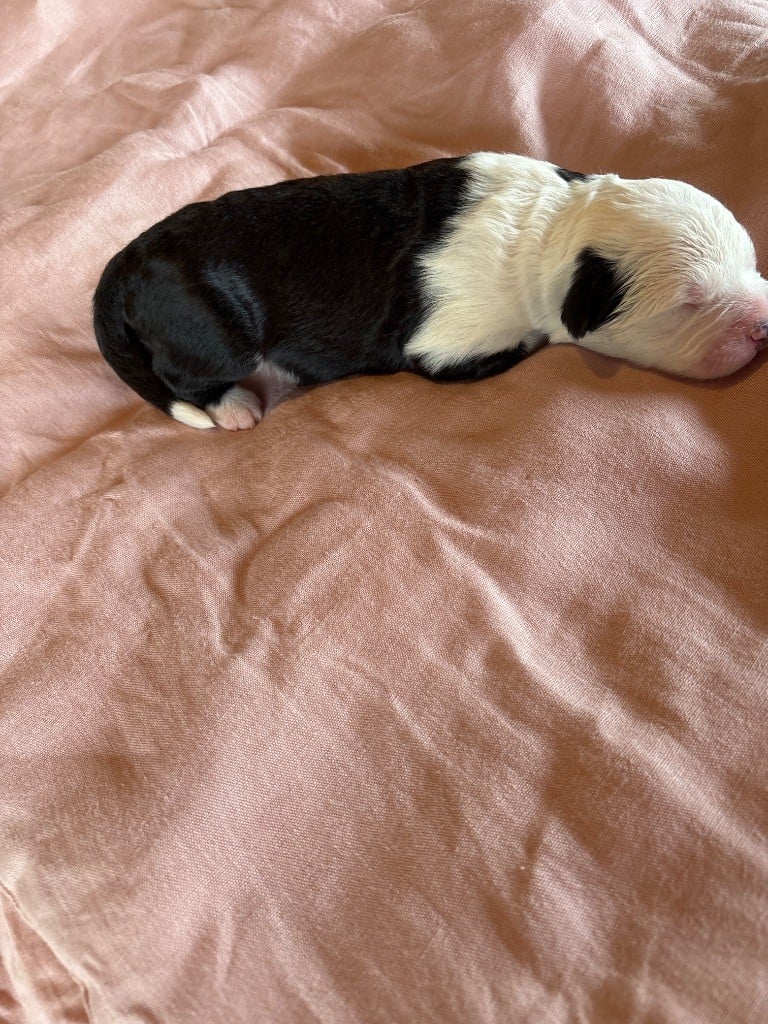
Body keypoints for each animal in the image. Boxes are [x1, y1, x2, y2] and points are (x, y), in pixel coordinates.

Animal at [93, 152, 768, 430]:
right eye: (689, 304)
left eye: (752, 260)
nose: (764, 322)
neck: (556, 226)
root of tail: (125, 262)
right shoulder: (450, 343)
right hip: (215, 329)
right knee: (184, 375)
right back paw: (233, 407)